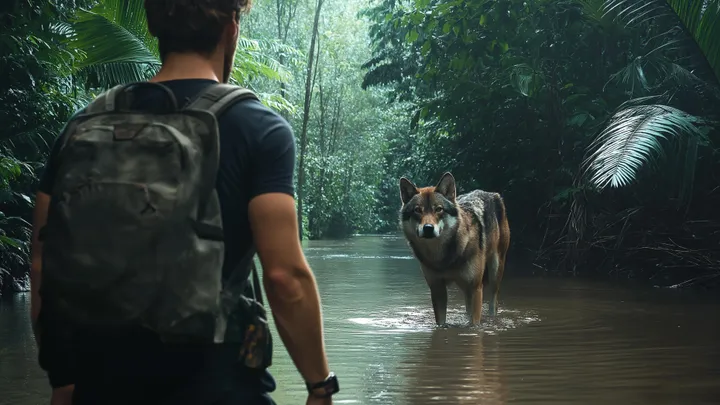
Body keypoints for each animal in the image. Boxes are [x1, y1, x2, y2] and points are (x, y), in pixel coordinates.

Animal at [399, 172, 510, 326]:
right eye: (417, 210)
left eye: (439, 209)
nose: (428, 228)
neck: (442, 258)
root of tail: (492, 193)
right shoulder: (437, 289)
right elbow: (441, 322)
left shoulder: (475, 288)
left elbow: (474, 324)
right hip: (466, 289)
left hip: (495, 273)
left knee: (493, 303)